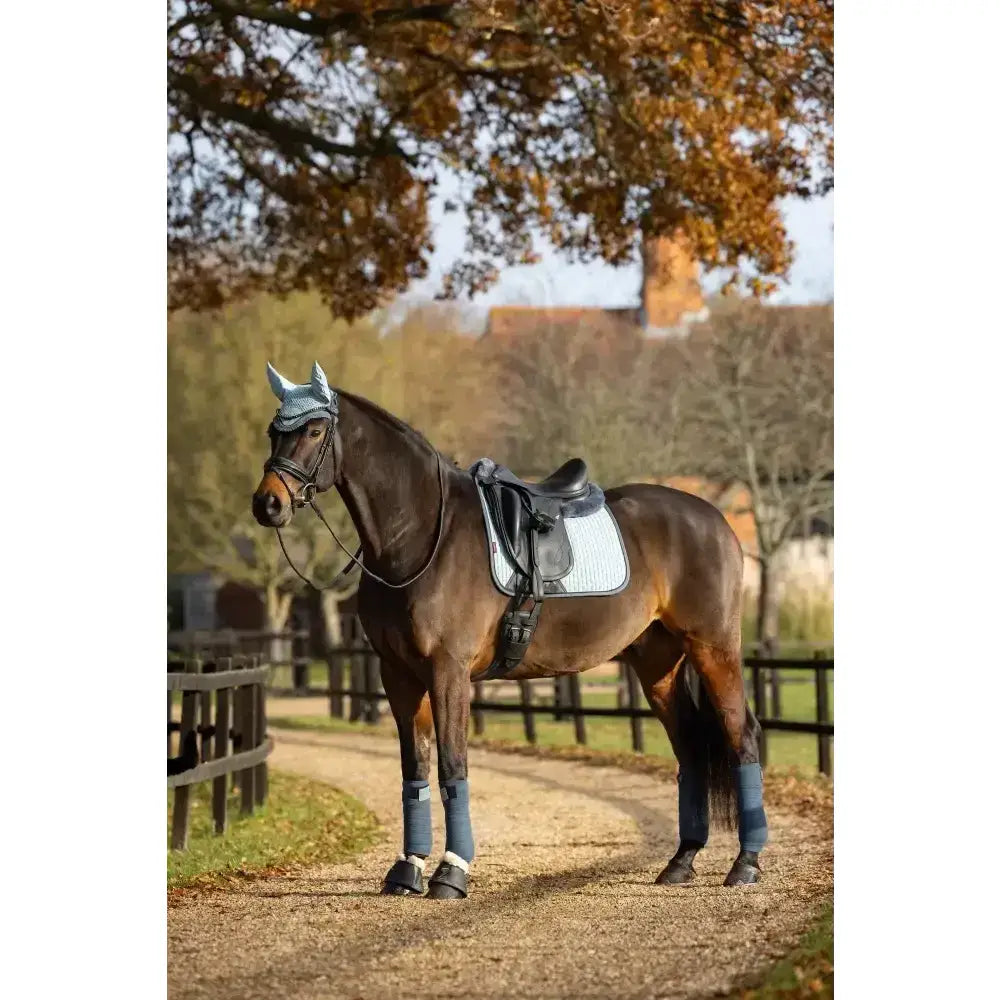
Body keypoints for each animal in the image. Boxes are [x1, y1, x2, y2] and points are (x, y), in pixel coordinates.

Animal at [252, 362, 767, 900]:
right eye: (273, 430)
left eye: (314, 431)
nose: (267, 504)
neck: (420, 538)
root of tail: (715, 520)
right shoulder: (399, 675)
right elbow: (414, 768)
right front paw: (407, 870)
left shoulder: (448, 672)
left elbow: (452, 765)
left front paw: (451, 872)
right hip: (658, 665)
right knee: (690, 746)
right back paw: (681, 861)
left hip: (714, 649)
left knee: (741, 735)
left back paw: (745, 864)